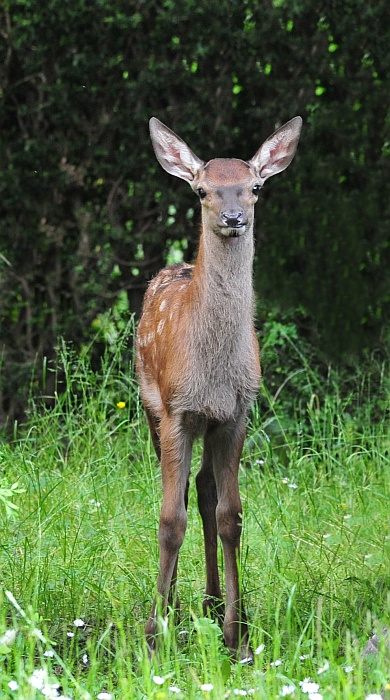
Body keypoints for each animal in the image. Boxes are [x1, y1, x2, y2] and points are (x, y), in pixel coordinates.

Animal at [136, 115, 304, 660]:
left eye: (255, 186)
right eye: (202, 189)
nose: (233, 217)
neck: (213, 371)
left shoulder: (236, 413)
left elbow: (231, 515)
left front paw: (238, 637)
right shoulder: (177, 410)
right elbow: (170, 520)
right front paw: (155, 635)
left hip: (209, 424)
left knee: (206, 489)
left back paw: (212, 603)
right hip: (151, 406)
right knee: (182, 493)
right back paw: (180, 605)